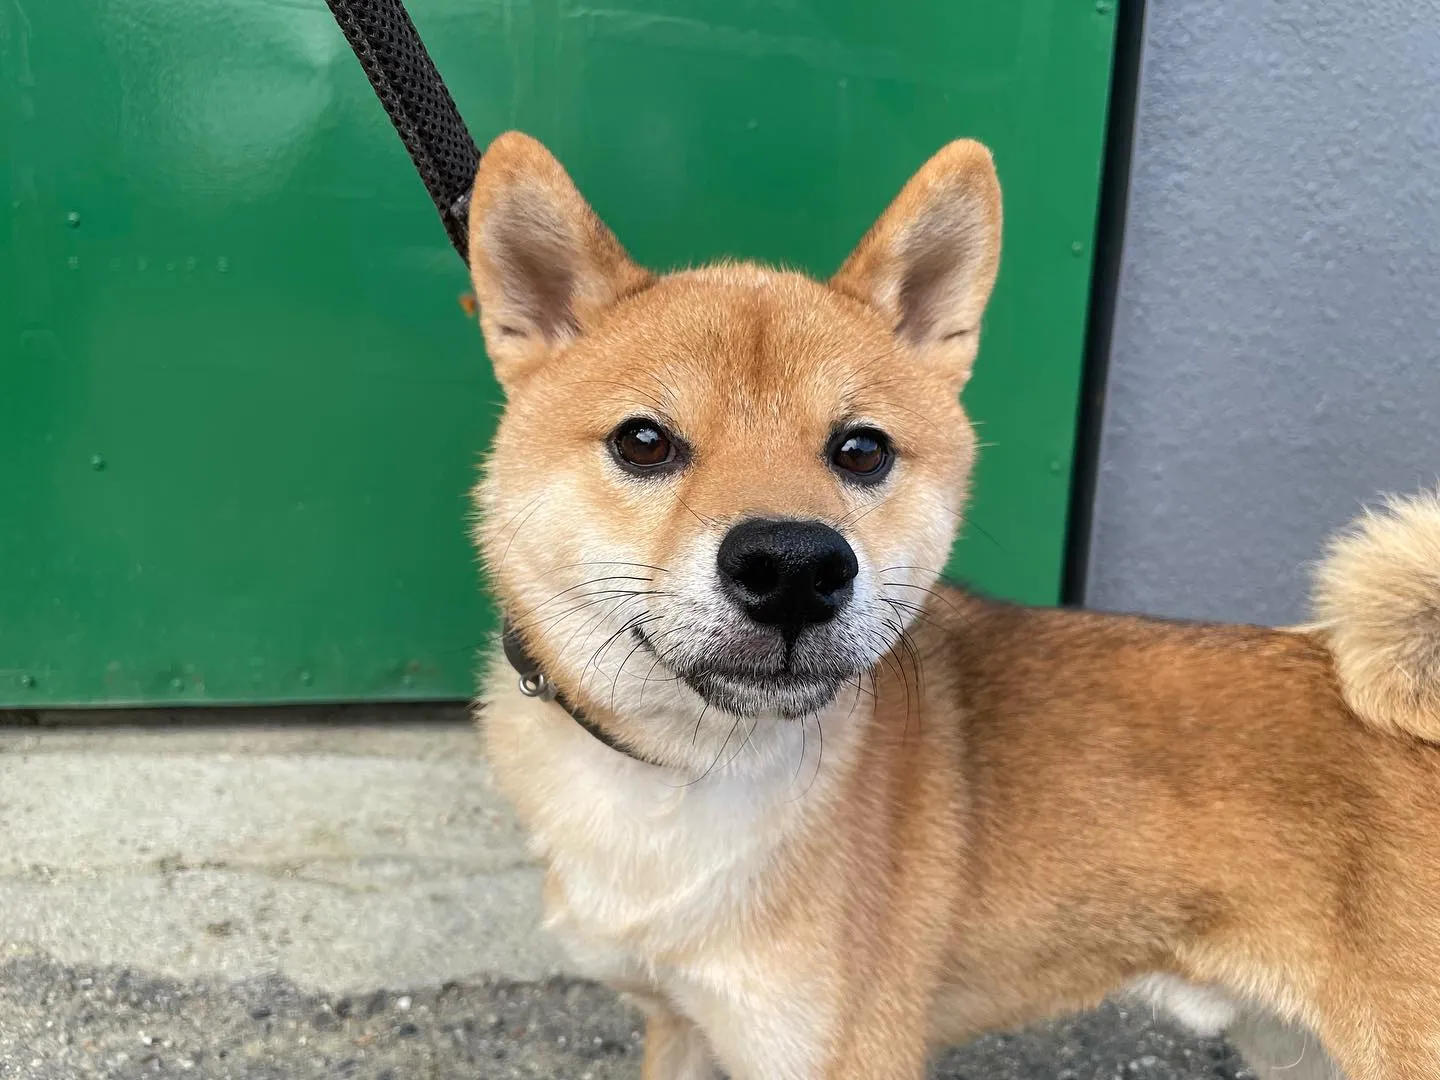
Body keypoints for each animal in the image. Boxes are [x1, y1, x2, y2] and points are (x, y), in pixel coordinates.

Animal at [460, 133, 1440, 1080]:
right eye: (643, 441)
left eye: (861, 450)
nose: (793, 567)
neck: (683, 776)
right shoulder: (683, 1025)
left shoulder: (851, 1053)